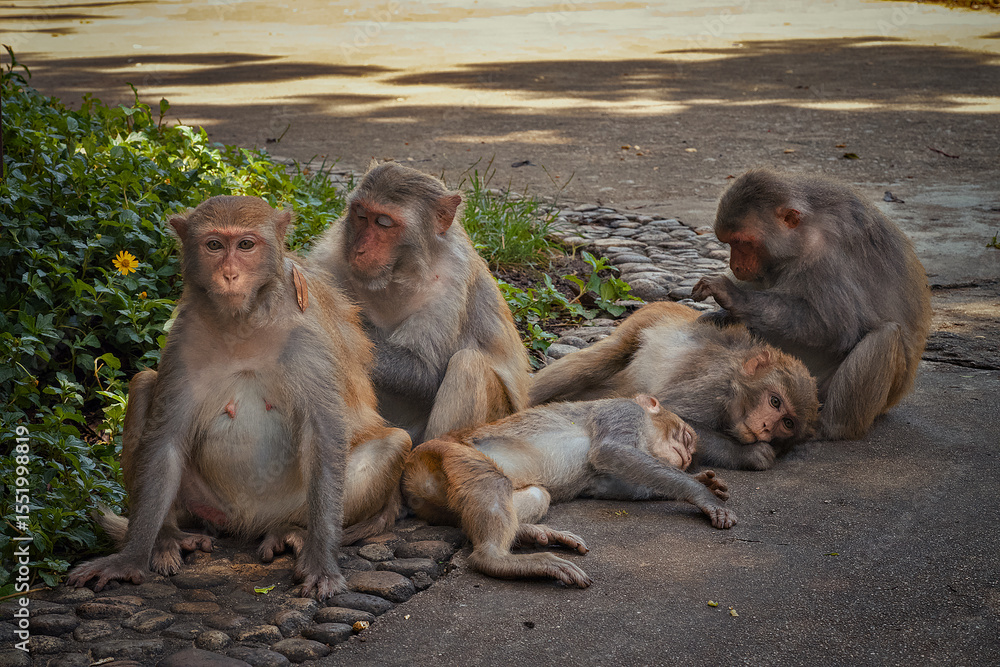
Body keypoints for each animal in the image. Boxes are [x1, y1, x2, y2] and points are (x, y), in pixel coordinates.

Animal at [66, 196, 411, 599]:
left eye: (246, 245)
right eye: (214, 245)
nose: (229, 273)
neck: (244, 320)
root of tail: (250, 522)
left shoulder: (306, 337)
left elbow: (322, 437)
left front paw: (323, 564)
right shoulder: (186, 335)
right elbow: (166, 439)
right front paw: (129, 558)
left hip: (296, 503)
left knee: (394, 442)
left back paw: (292, 532)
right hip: (208, 504)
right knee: (143, 384)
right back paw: (167, 536)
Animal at [309, 162, 531, 445]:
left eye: (383, 222)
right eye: (360, 214)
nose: (359, 249)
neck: (395, 274)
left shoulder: (450, 282)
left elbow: (424, 371)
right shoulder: (330, 256)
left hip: (497, 419)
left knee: (468, 364)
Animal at [401, 395, 735, 588]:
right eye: (687, 437)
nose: (689, 458)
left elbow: (611, 484)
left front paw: (703, 482)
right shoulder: (622, 411)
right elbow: (611, 451)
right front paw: (701, 493)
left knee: (538, 495)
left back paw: (530, 533)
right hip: (441, 453)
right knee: (490, 481)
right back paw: (497, 558)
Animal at [529, 302, 819, 471]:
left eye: (787, 423)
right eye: (774, 401)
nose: (767, 427)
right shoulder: (712, 386)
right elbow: (676, 415)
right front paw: (748, 455)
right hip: (648, 318)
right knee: (602, 357)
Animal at [691, 168, 932, 440]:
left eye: (743, 242)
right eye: (731, 243)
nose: (735, 266)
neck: (804, 234)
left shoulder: (827, 256)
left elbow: (835, 327)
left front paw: (731, 295)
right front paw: (719, 315)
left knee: (886, 335)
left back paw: (829, 427)